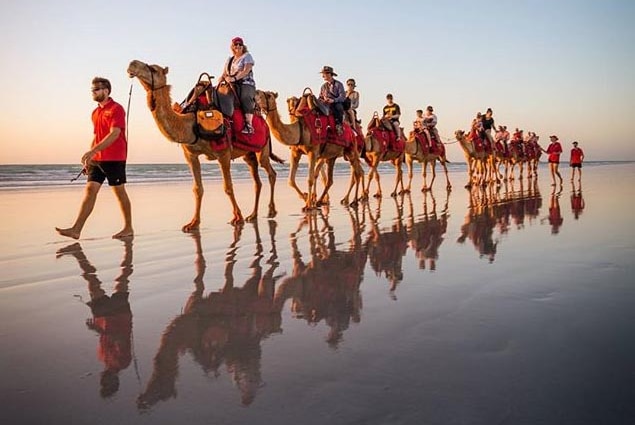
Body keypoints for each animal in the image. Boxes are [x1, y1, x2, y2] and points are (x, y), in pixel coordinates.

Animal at [126, 59, 280, 229]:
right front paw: (193, 223)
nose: (132, 64)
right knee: (257, 181)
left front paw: (237, 217)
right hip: (248, 154)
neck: (191, 123)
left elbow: (228, 187)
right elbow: (197, 188)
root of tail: (265, 123)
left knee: (270, 172)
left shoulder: (223, 153)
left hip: (262, 148)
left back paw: (271, 211)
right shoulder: (190, 155)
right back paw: (252, 215)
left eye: (153, 69)